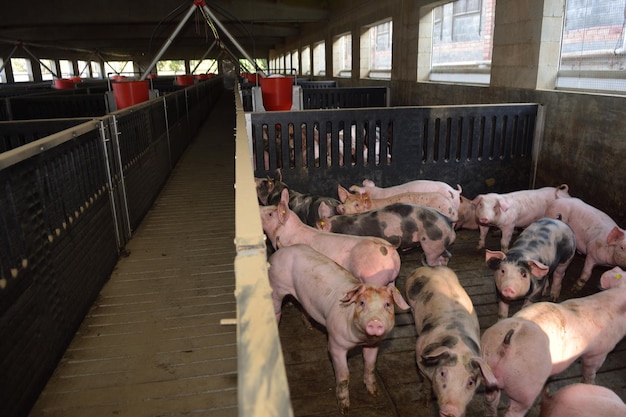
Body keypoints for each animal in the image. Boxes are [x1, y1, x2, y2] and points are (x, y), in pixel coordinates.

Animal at [266, 244, 410, 412]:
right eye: (361, 303)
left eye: (387, 304)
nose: (375, 321)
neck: (360, 340)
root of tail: (282, 249)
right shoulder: (335, 344)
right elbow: (344, 376)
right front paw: (344, 408)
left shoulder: (374, 344)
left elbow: (370, 365)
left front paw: (374, 393)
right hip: (275, 286)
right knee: (276, 309)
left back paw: (309, 327)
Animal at [404, 266, 498, 416]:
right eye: (443, 373)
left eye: (470, 382)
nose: (450, 410)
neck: (458, 346)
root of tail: (432, 268)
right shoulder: (420, 357)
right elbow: (426, 381)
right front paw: (424, 404)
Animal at [478, 286, 624, 416]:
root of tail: (504, 346)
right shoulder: (598, 352)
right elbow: (590, 372)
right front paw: (591, 384)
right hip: (525, 387)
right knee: (513, 411)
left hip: (491, 372)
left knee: (490, 400)